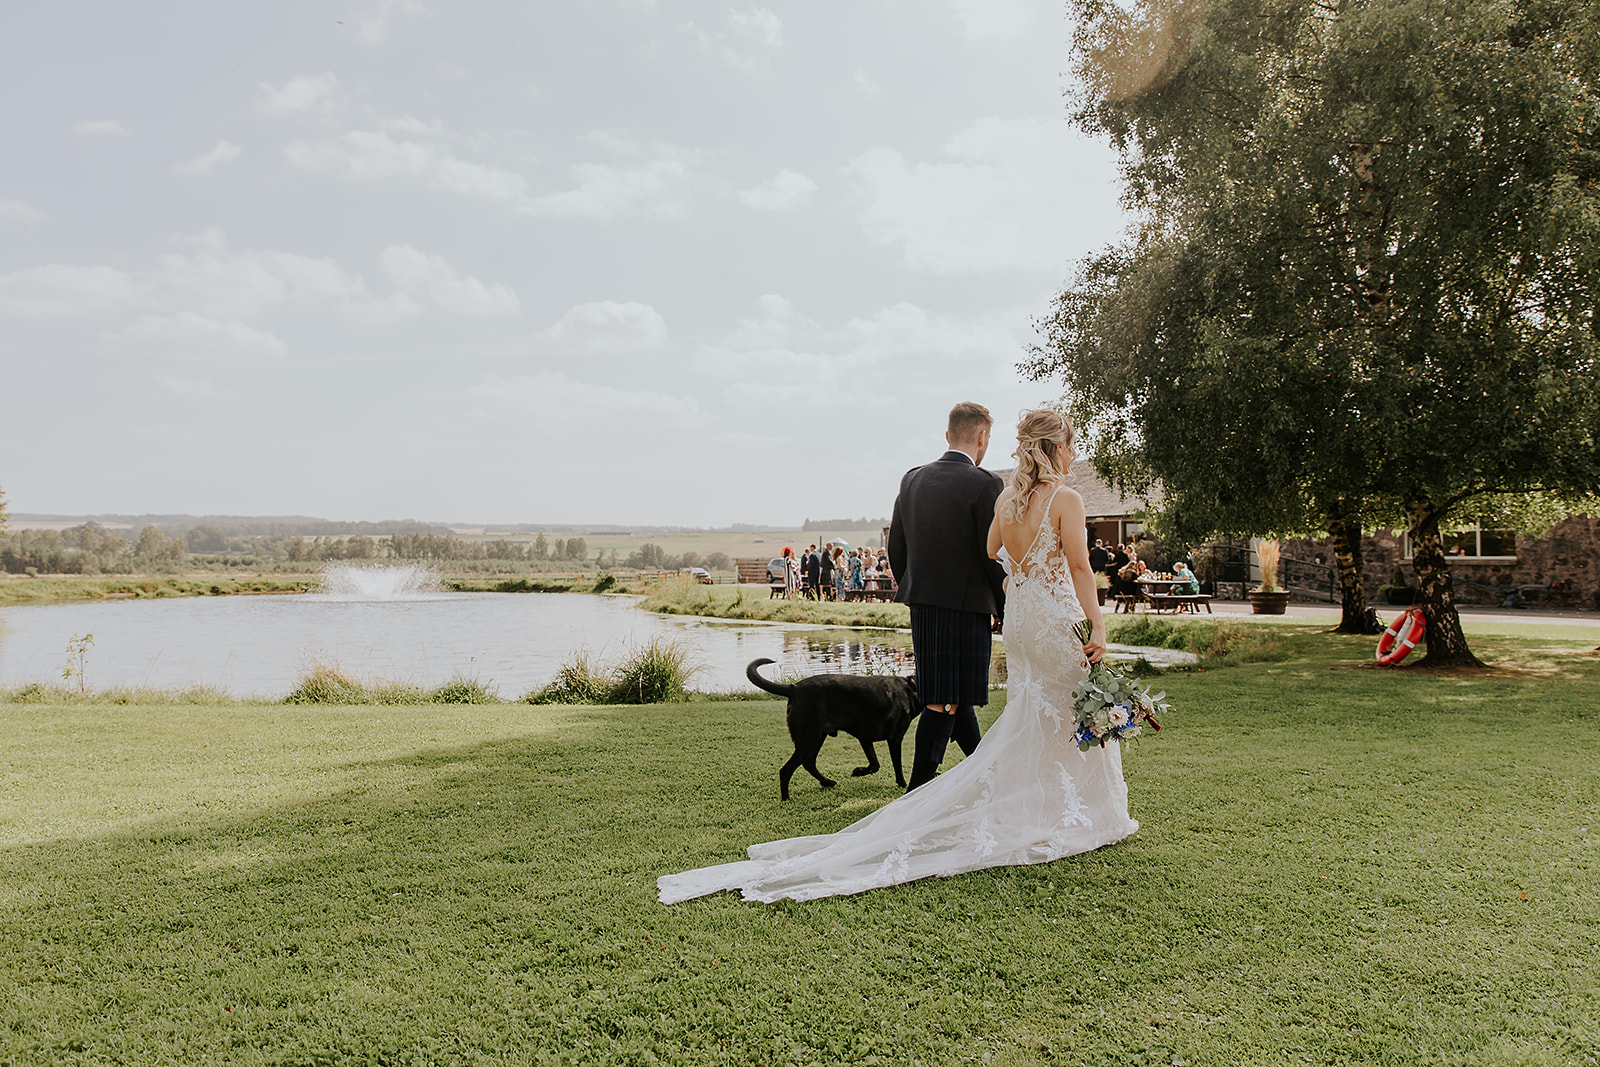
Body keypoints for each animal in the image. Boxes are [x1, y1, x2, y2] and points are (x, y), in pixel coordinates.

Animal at [745, 659, 921, 799]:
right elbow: (896, 766)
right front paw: (904, 785)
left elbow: (875, 764)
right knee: (786, 770)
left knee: (808, 763)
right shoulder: (894, 738)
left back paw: (827, 782)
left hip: (817, 737)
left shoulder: (865, 737)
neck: (911, 688)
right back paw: (786, 799)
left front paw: (858, 771)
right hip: (808, 739)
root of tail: (793, 688)